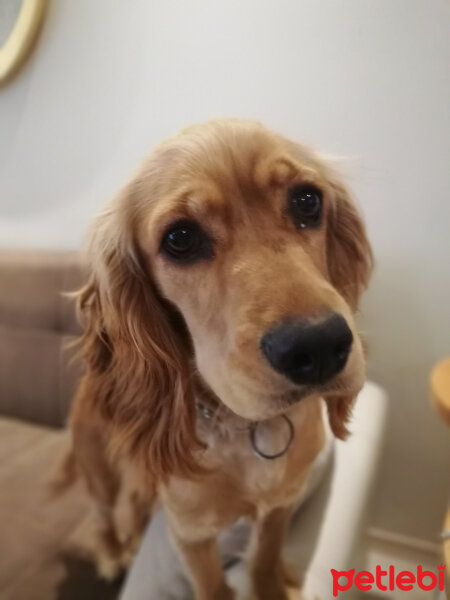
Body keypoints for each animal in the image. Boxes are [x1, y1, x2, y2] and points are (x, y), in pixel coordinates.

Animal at [64, 118, 372, 600]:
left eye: (307, 200)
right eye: (180, 238)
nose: (320, 346)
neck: (246, 430)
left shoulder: (282, 504)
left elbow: (264, 559)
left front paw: (275, 584)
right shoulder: (191, 534)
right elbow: (211, 586)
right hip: (97, 466)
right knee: (103, 514)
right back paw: (114, 552)